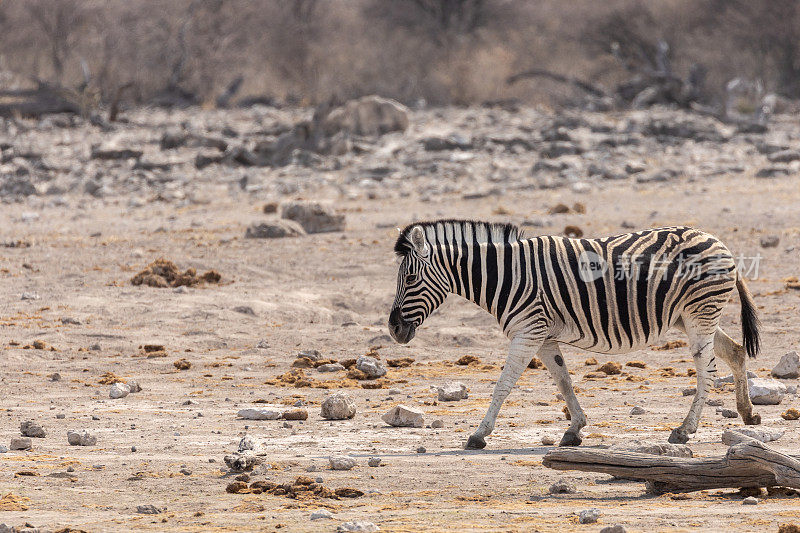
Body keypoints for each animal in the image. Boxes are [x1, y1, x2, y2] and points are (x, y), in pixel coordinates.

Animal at [390, 218, 764, 446]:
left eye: (410, 279)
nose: (393, 329)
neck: (506, 275)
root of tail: (718, 241)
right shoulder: (543, 336)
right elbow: (563, 381)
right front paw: (575, 429)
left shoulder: (528, 331)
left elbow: (503, 385)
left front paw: (479, 435)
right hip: (690, 316)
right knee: (734, 351)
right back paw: (747, 413)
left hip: (699, 313)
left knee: (706, 369)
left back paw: (685, 430)